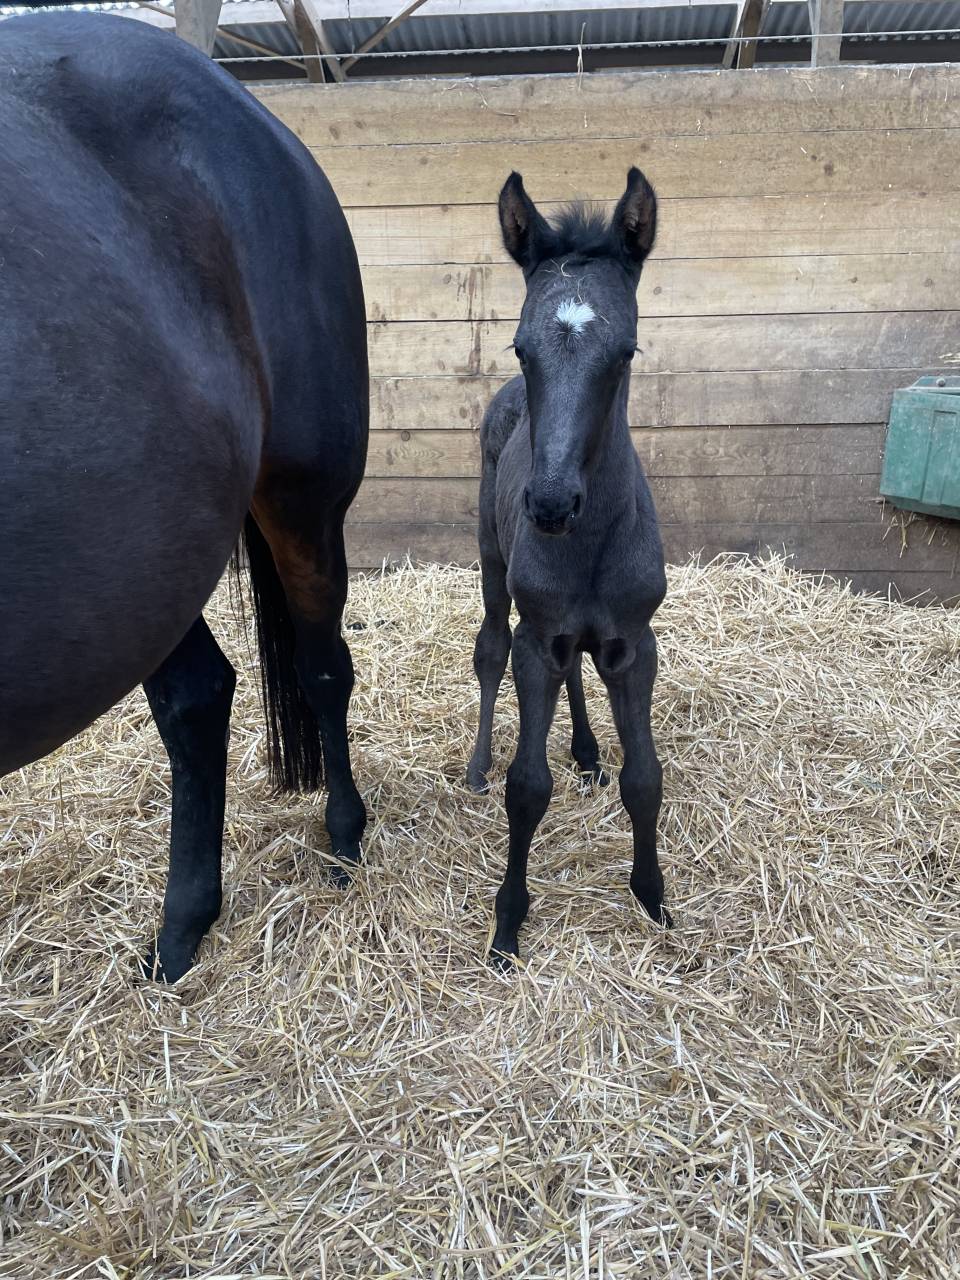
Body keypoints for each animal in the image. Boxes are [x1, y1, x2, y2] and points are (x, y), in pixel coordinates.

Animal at [0, 13, 369, 982]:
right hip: (137, 572)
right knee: (198, 696)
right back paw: (181, 932)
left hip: (301, 498)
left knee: (322, 666)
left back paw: (344, 838)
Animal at [466, 168, 673, 967]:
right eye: (522, 348)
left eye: (626, 352)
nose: (550, 502)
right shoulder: (536, 639)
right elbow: (527, 786)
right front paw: (508, 921)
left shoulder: (634, 642)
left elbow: (644, 778)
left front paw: (653, 897)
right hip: (493, 566)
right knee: (489, 649)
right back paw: (476, 767)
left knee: (577, 670)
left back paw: (586, 751)